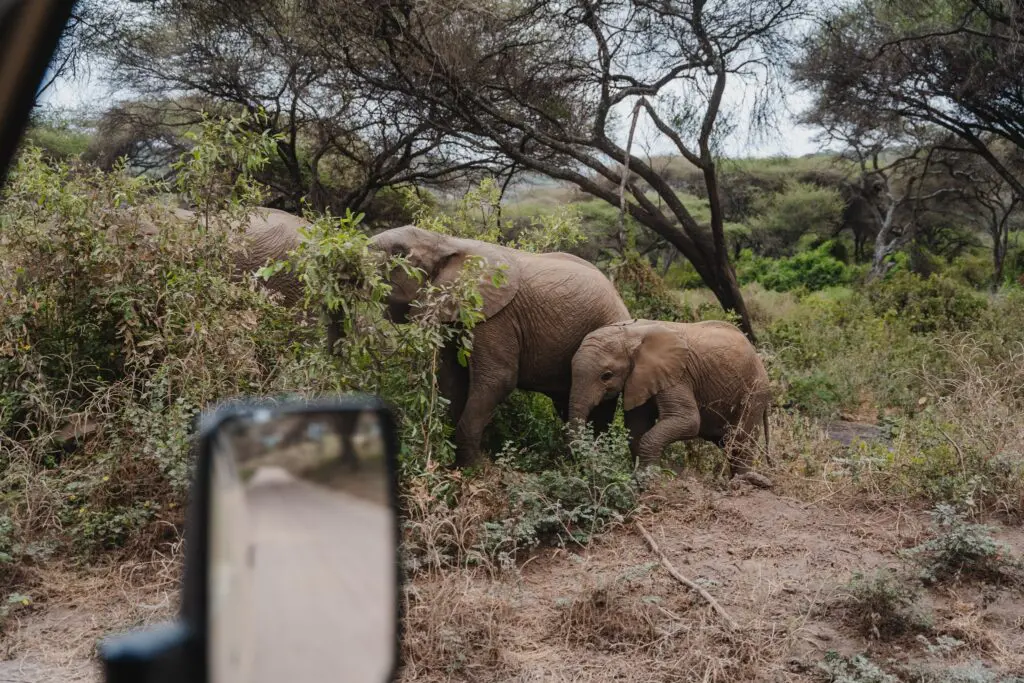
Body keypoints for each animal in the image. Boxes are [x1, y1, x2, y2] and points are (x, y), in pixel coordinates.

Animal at [356, 225, 632, 468]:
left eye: (399, 253)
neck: (446, 242)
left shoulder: (494, 315)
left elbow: (498, 379)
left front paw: (473, 470)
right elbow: (451, 379)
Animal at [568, 319, 771, 477]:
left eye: (606, 376)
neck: (630, 333)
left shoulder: (678, 374)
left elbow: (688, 420)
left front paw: (648, 479)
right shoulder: (641, 378)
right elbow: (636, 426)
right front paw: (643, 476)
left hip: (754, 392)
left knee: (740, 441)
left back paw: (742, 483)